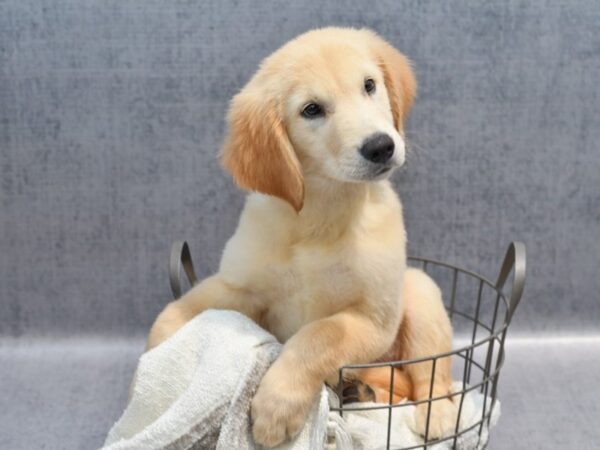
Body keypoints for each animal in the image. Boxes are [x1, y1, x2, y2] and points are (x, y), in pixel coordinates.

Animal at [149, 28, 454, 446]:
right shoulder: (238, 287)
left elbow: (318, 334)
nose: (381, 146)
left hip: (420, 293)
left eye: (369, 85)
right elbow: (178, 311)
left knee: (431, 376)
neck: (319, 217)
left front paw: (276, 406)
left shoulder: (373, 319)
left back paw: (436, 415)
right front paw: (153, 365)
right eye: (312, 110)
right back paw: (359, 390)